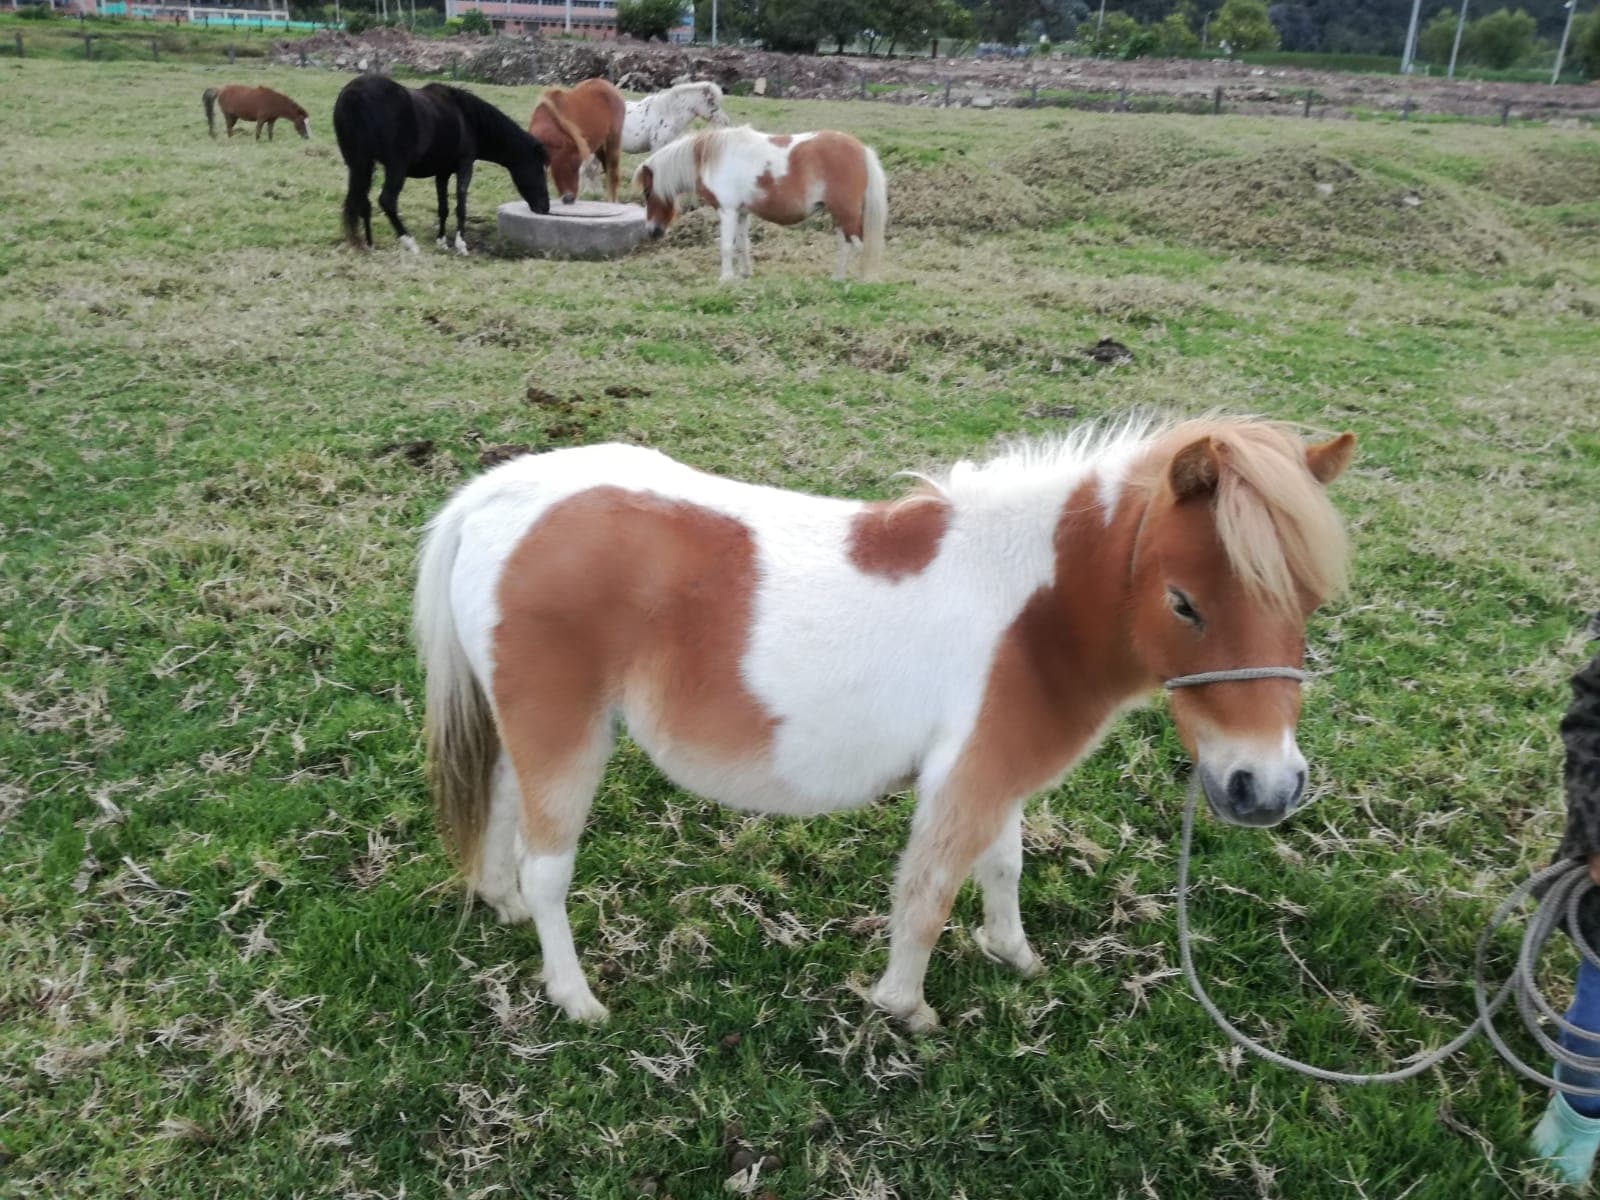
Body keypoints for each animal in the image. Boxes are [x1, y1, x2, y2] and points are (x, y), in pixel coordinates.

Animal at [332, 75, 550, 256]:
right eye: (539, 170)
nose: (545, 208)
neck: (467, 118)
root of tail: (355, 93)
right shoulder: (465, 166)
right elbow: (461, 205)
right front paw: (461, 245)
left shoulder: (442, 173)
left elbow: (443, 207)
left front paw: (442, 242)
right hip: (395, 168)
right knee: (387, 201)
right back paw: (409, 243)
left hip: (360, 165)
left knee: (363, 202)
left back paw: (369, 244)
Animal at [413, 416, 1356, 1028]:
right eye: (1184, 602)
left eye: (1309, 600)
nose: (1267, 788)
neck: (1033, 613)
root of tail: (495, 496)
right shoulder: (966, 781)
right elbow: (928, 895)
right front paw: (905, 1009)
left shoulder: (997, 772)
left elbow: (1002, 868)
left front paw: (1014, 955)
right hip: (564, 734)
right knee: (547, 870)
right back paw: (575, 999)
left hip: (523, 731)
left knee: (502, 811)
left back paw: (499, 904)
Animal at [634, 125, 888, 283]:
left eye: (647, 192)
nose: (652, 231)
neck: (713, 158)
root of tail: (861, 149)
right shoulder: (741, 212)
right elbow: (741, 245)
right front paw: (744, 274)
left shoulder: (727, 211)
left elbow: (726, 246)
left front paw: (726, 278)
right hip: (840, 215)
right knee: (846, 244)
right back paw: (838, 278)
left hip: (846, 213)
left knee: (858, 245)